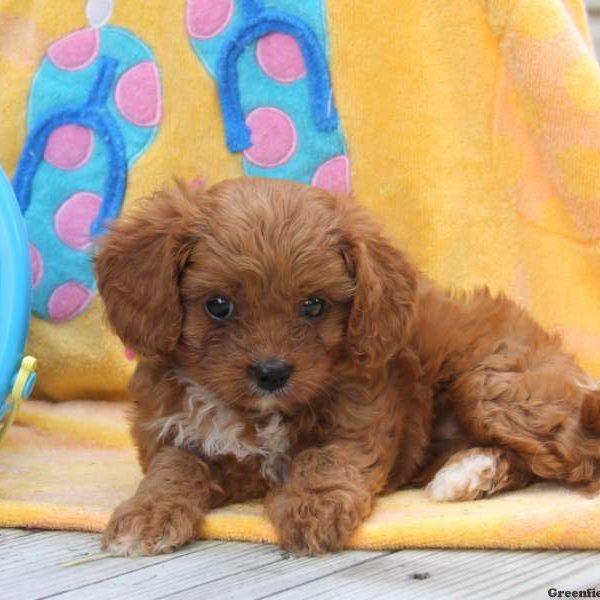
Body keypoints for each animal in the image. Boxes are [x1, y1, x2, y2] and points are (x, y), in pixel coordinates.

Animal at [95, 177, 600, 556]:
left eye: (314, 306)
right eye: (218, 306)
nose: (272, 373)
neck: (256, 414)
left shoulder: (361, 417)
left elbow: (325, 458)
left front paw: (312, 511)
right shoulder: (170, 430)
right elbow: (174, 467)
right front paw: (146, 514)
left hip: (490, 386)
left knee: (578, 457)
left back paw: (470, 472)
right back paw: (466, 474)